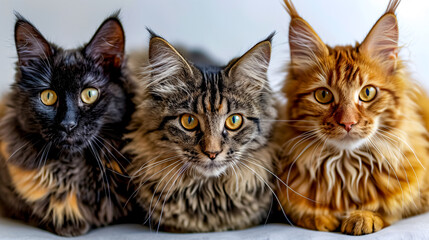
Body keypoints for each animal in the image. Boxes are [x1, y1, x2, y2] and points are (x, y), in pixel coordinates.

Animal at [274, 0, 428, 236]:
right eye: (323, 95)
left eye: (367, 93)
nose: (348, 123)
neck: (346, 169)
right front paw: (318, 218)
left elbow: (392, 208)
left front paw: (364, 216)